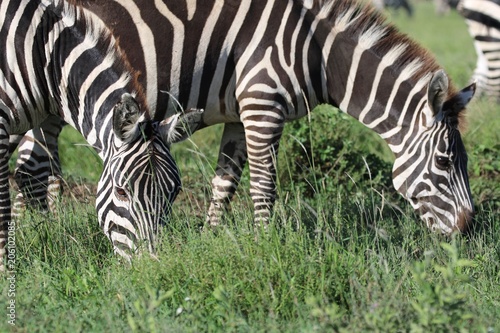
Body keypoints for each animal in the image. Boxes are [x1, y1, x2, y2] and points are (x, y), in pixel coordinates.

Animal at [14, 0, 476, 233]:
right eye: (444, 162)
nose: (469, 229)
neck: (316, 51)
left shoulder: (239, 115)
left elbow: (225, 182)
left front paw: (212, 237)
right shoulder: (262, 104)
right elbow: (263, 187)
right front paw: (267, 243)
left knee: (34, 169)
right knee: (30, 170)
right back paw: (39, 241)